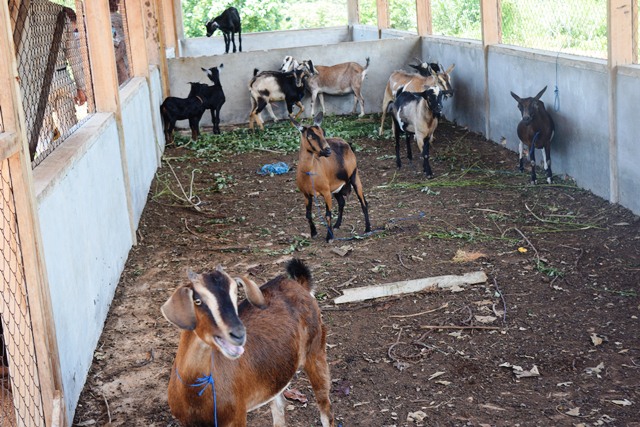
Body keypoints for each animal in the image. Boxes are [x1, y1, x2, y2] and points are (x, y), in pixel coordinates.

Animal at [161, 260, 336, 426]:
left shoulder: (237, 417)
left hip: (316, 351)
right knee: (279, 408)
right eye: (197, 300)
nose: (238, 334)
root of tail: (298, 285)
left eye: (235, 294)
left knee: (326, 411)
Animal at [292, 112, 372, 242]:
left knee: (363, 202)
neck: (310, 172)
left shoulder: (326, 192)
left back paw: (368, 229)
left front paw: (329, 237)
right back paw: (337, 225)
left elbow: (328, 214)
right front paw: (314, 232)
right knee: (342, 202)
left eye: (323, 133)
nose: (327, 150)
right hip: (336, 187)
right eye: (310, 135)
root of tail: (346, 143)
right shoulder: (306, 194)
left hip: (354, 176)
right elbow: (308, 214)